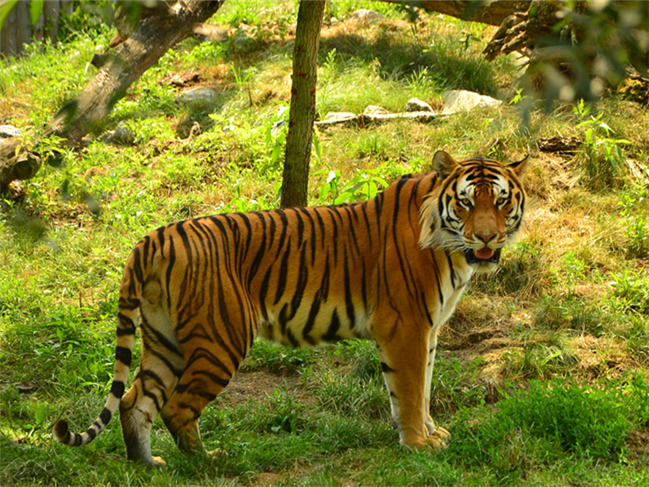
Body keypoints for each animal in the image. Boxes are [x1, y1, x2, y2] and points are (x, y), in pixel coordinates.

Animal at [53, 151, 528, 468]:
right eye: (466, 202)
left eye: (501, 201)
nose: (487, 237)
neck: (453, 250)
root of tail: (153, 238)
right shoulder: (406, 326)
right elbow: (409, 392)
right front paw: (417, 444)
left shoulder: (429, 330)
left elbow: (425, 388)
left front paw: (432, 432)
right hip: (220, 340)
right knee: (176, 407)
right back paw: (209, 462)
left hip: (165, 339)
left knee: (134, 400)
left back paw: (147, 465)